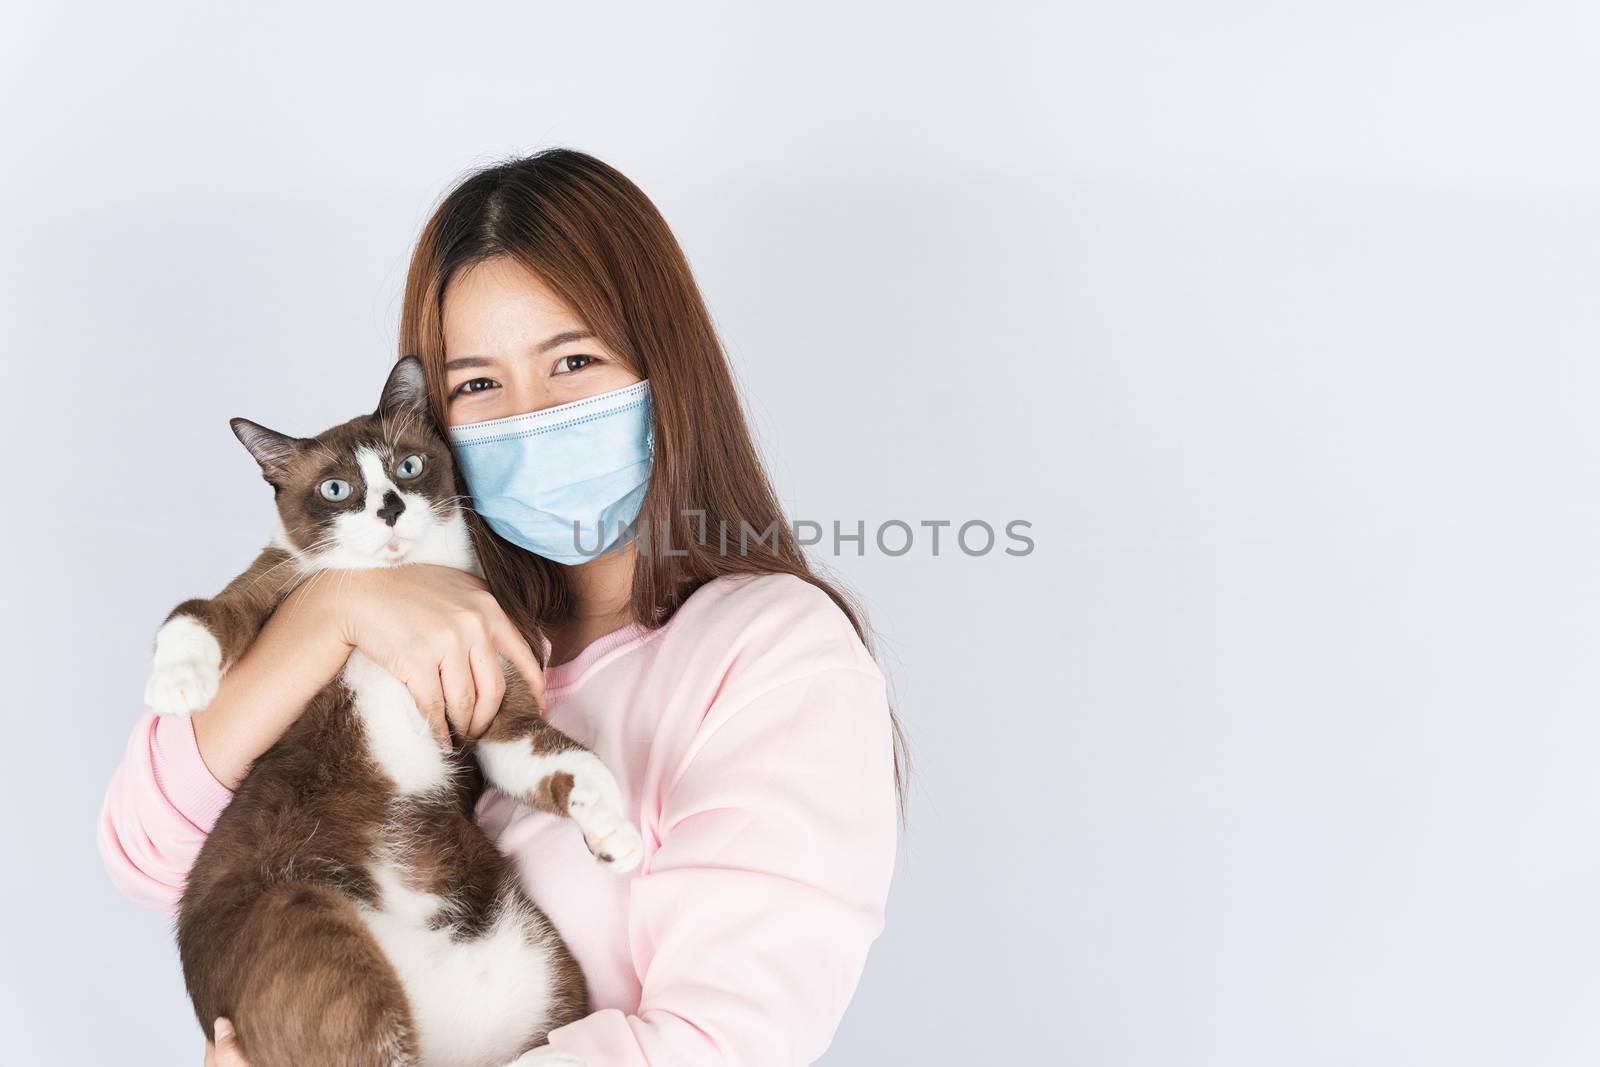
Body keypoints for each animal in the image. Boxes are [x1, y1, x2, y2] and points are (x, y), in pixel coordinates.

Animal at [140, 356, 633, 1067]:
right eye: (337, 489)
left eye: (408, 466)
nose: (391, 507)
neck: (406, 578)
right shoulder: (275, 591)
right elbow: (199, 613)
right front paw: (177, 687)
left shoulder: (493, 704)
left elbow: (561, 755)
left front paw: (611, 828)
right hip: (310, 918)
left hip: (545, 966)